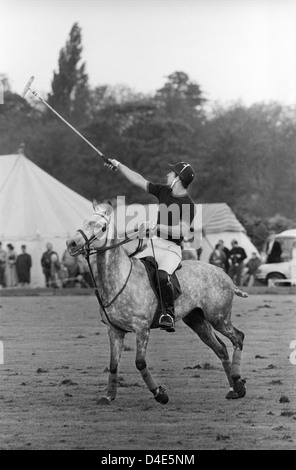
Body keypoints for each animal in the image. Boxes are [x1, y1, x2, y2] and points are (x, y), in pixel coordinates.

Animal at [67, 201, 247, 404]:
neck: (119, 279)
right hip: (197, 320)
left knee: (238, 338)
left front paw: (160, 394)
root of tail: (227, 276)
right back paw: (233, 389)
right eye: (85, 221)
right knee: (221, 348)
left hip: (218, 317)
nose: (71, 243)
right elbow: (113, 364)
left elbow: (139, 362)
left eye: (102, 227)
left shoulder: (142, 328)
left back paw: (239, 384)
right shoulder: (114, 330)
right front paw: (109, 395)